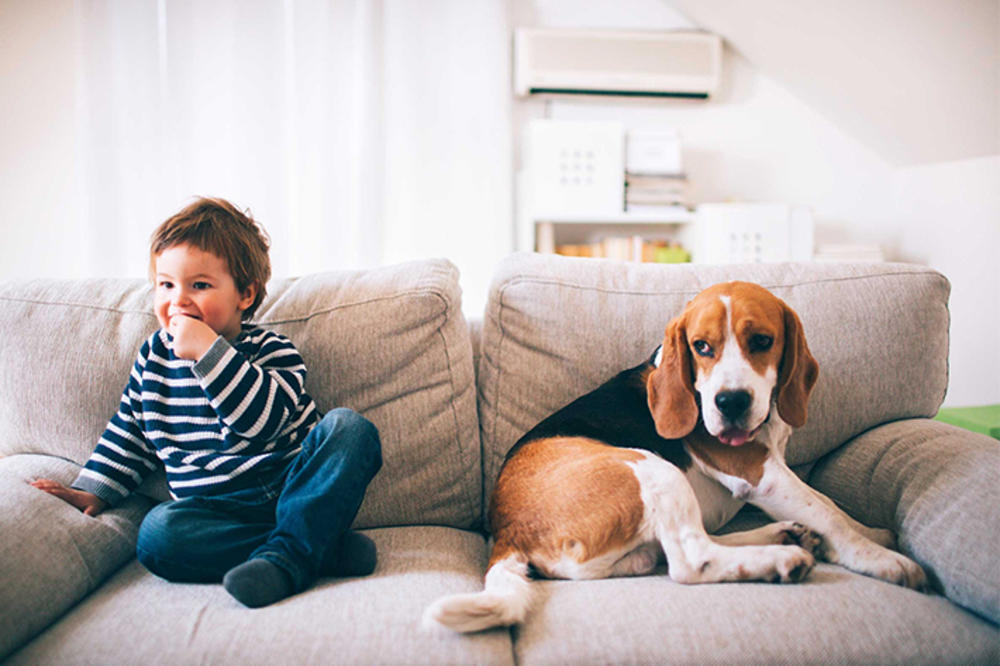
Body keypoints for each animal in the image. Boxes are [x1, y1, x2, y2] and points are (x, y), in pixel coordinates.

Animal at [424, 280, 928, 632]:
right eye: (701, 347)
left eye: (762, 341)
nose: (729, 403)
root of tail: (508, 532)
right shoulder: (761, 473)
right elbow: (829, 513)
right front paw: (883, 560)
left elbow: (831, 505)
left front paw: (873, 533)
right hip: (653, 469)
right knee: (690, 561)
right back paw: (780, 558)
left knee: (675, 551)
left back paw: (783, 536)